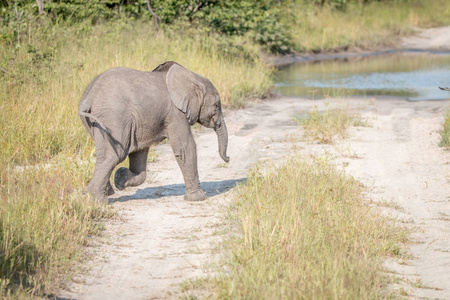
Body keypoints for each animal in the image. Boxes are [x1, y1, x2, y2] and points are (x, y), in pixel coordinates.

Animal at [78, 61, 230, 203]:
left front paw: (121, 179)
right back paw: (97, 199)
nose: (228, 159)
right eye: (217, 105)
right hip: (113, 117)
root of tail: (90, 97)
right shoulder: (175, 113)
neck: (192, 77)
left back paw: (108, 192)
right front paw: (199, 198)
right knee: (113, 155)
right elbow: (185, 148)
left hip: (96, 121)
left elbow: (139, 152)